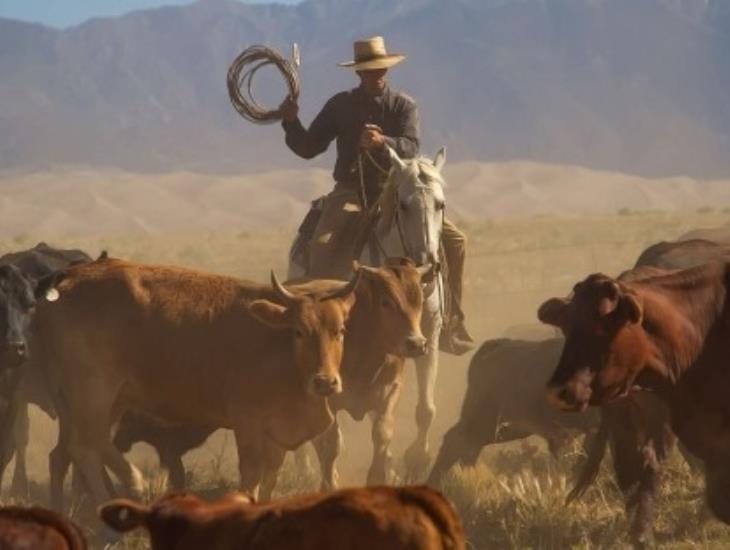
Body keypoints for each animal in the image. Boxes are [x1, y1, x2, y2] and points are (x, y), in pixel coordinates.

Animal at [31, 256, 362, 512]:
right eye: (298, 331)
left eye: (341, 330)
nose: (325, 382)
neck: (278, 347)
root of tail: (68, 281)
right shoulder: (247, 422)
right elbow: (252, 474)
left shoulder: (277, 435)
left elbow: (271, 475)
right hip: (94, 392)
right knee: (87, 444)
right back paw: (132, 486)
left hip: (94, 400)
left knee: (67, 452)